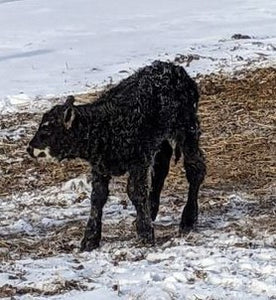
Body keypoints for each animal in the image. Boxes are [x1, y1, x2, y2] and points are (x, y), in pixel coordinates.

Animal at [27, 60, 205, 251]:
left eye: (47, 129)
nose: (29, 148)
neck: (106, 126)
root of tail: (174, 67)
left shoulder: (139, 160)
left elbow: (135, 192)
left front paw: (145, 234)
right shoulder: (99, 166)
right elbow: (97, 197)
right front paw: (90, 239)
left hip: (187, 129)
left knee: (195, 168)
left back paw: (188, 219)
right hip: (160, 140)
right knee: (161, 168)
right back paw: (152, 209)